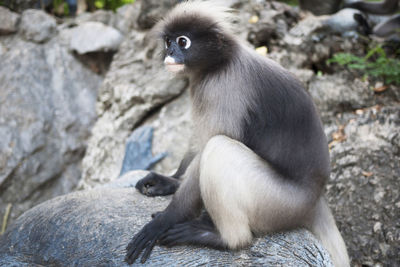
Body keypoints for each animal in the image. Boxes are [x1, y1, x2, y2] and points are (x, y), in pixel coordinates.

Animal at [125, 1, 350, 266]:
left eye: (183, 41)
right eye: (168, 41)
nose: (170, 53)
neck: (220, 62)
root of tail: (315, 200)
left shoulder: (224, 88)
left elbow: (208, 146)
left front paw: (165, 220)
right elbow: (197, 144)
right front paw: (170, 181)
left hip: (278, 203)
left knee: (219, 147)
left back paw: (221, 238)